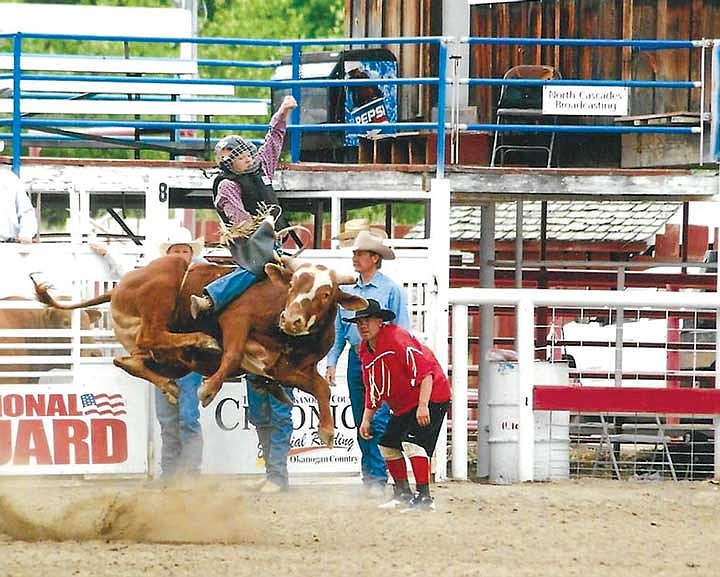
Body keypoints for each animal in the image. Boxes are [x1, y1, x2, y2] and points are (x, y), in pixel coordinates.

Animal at [33, 256, 366, 446]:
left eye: (327, 293)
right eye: (293, 284)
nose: (291, 319)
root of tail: (120, 284)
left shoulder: (285, 369)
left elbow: (322, 387)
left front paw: (326, 431)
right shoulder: (236, 318)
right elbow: (232, 354)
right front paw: (207, 390)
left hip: (171, 361)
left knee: (127, 359)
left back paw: (170, 385)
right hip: (163, 287)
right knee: (151, 336)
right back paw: (203, 340)